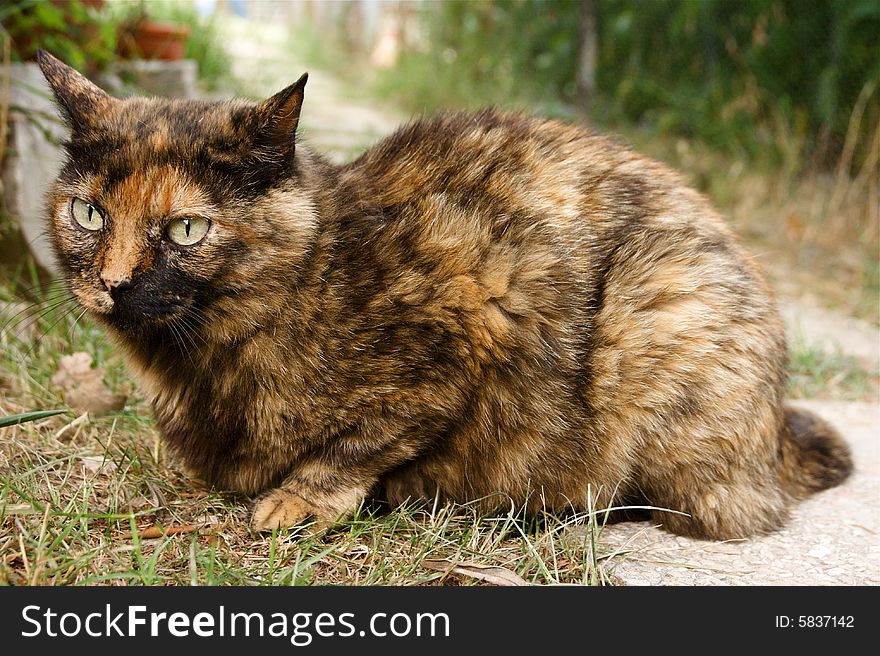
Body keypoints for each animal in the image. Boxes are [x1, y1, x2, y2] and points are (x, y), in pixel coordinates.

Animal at [36, 51, 852, 540]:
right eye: (90, 214)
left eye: (185, 228)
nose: (113, 283)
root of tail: (776, 430)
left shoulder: (462, 330)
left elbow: (357, 445)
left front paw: (300, 500)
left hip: (657, 307)